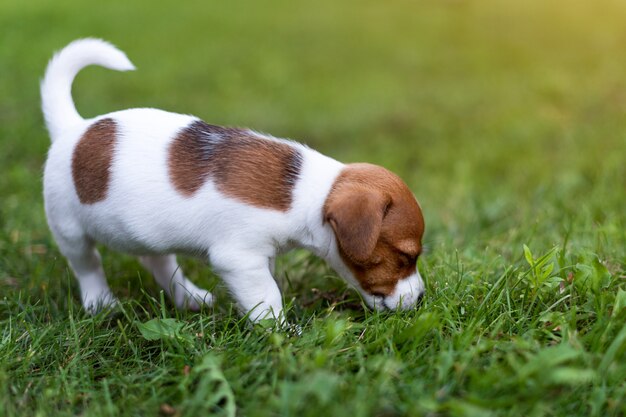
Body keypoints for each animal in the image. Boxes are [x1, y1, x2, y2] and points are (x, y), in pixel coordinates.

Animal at [41, 39, 424, 320]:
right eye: (406, 257)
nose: (421, 298)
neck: (308, 192)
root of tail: (74, 128)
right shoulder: (241, 258)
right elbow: (267, 297)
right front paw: (282, 333)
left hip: (146, 234)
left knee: (160, 263)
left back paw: (189, 297)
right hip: (68, 229)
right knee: (88, 265)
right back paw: (101, 303)